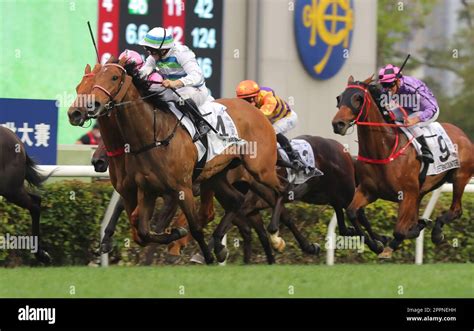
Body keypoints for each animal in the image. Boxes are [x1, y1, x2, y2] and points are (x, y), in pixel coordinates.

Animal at [330, 76, 474, 260]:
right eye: (339, 98)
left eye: (358, 98)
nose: (338, 124)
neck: (384, 150)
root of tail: (463, 135)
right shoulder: (369, 191)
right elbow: (352, 212)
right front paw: (377, 244)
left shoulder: (406, 194)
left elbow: (399, 231)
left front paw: (391, 243)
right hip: (423, 189)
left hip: (459, 177)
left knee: (456, 210)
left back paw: (436, 233)